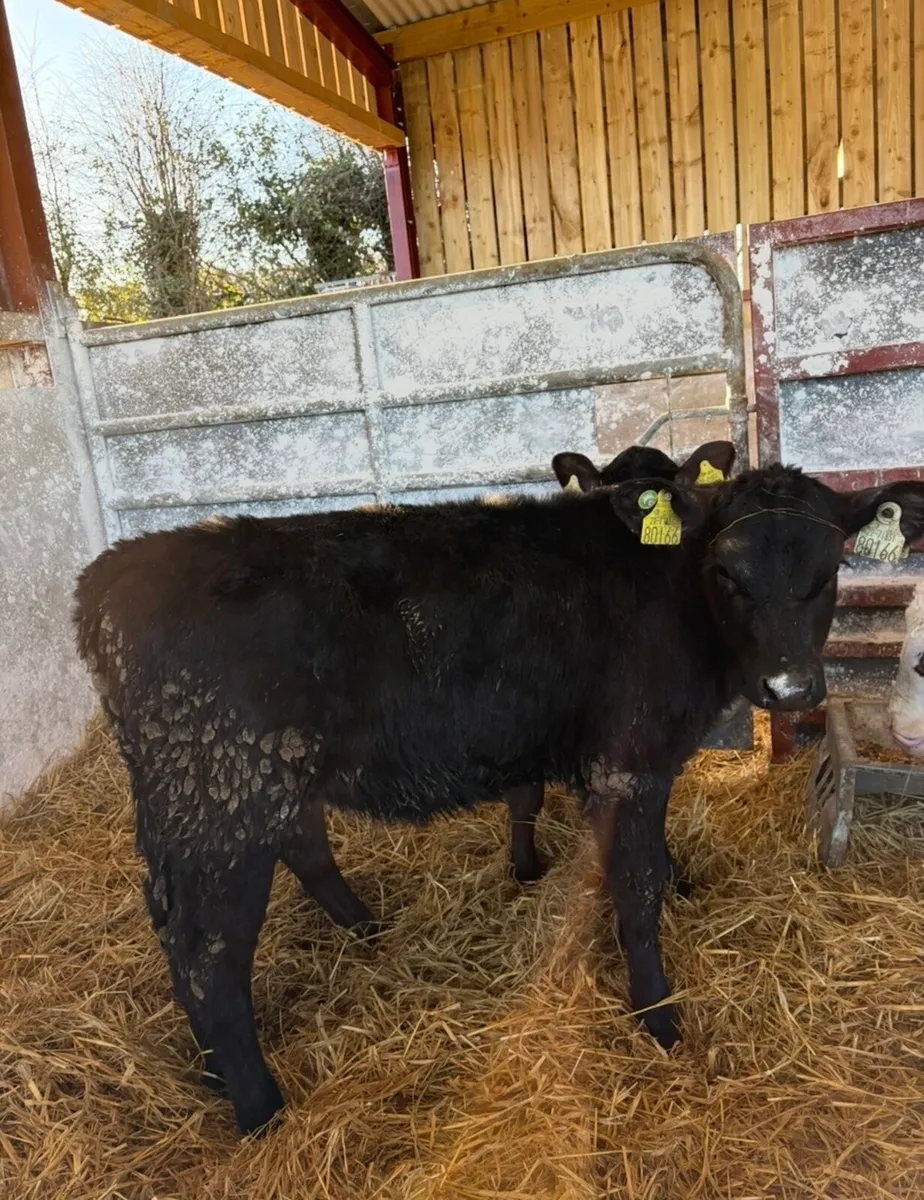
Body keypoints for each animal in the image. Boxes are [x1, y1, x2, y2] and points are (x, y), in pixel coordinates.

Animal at [74, 464, 924, 1136]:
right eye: (728, 575)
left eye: (829, 569)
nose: (789, 688)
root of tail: (109, 576)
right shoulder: (628, 759)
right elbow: (635, 887)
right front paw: (656, 1014)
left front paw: (676, 884)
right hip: (221, 795)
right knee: (208, 951)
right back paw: (256, 1107)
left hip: (244, 786)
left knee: (269, 870)